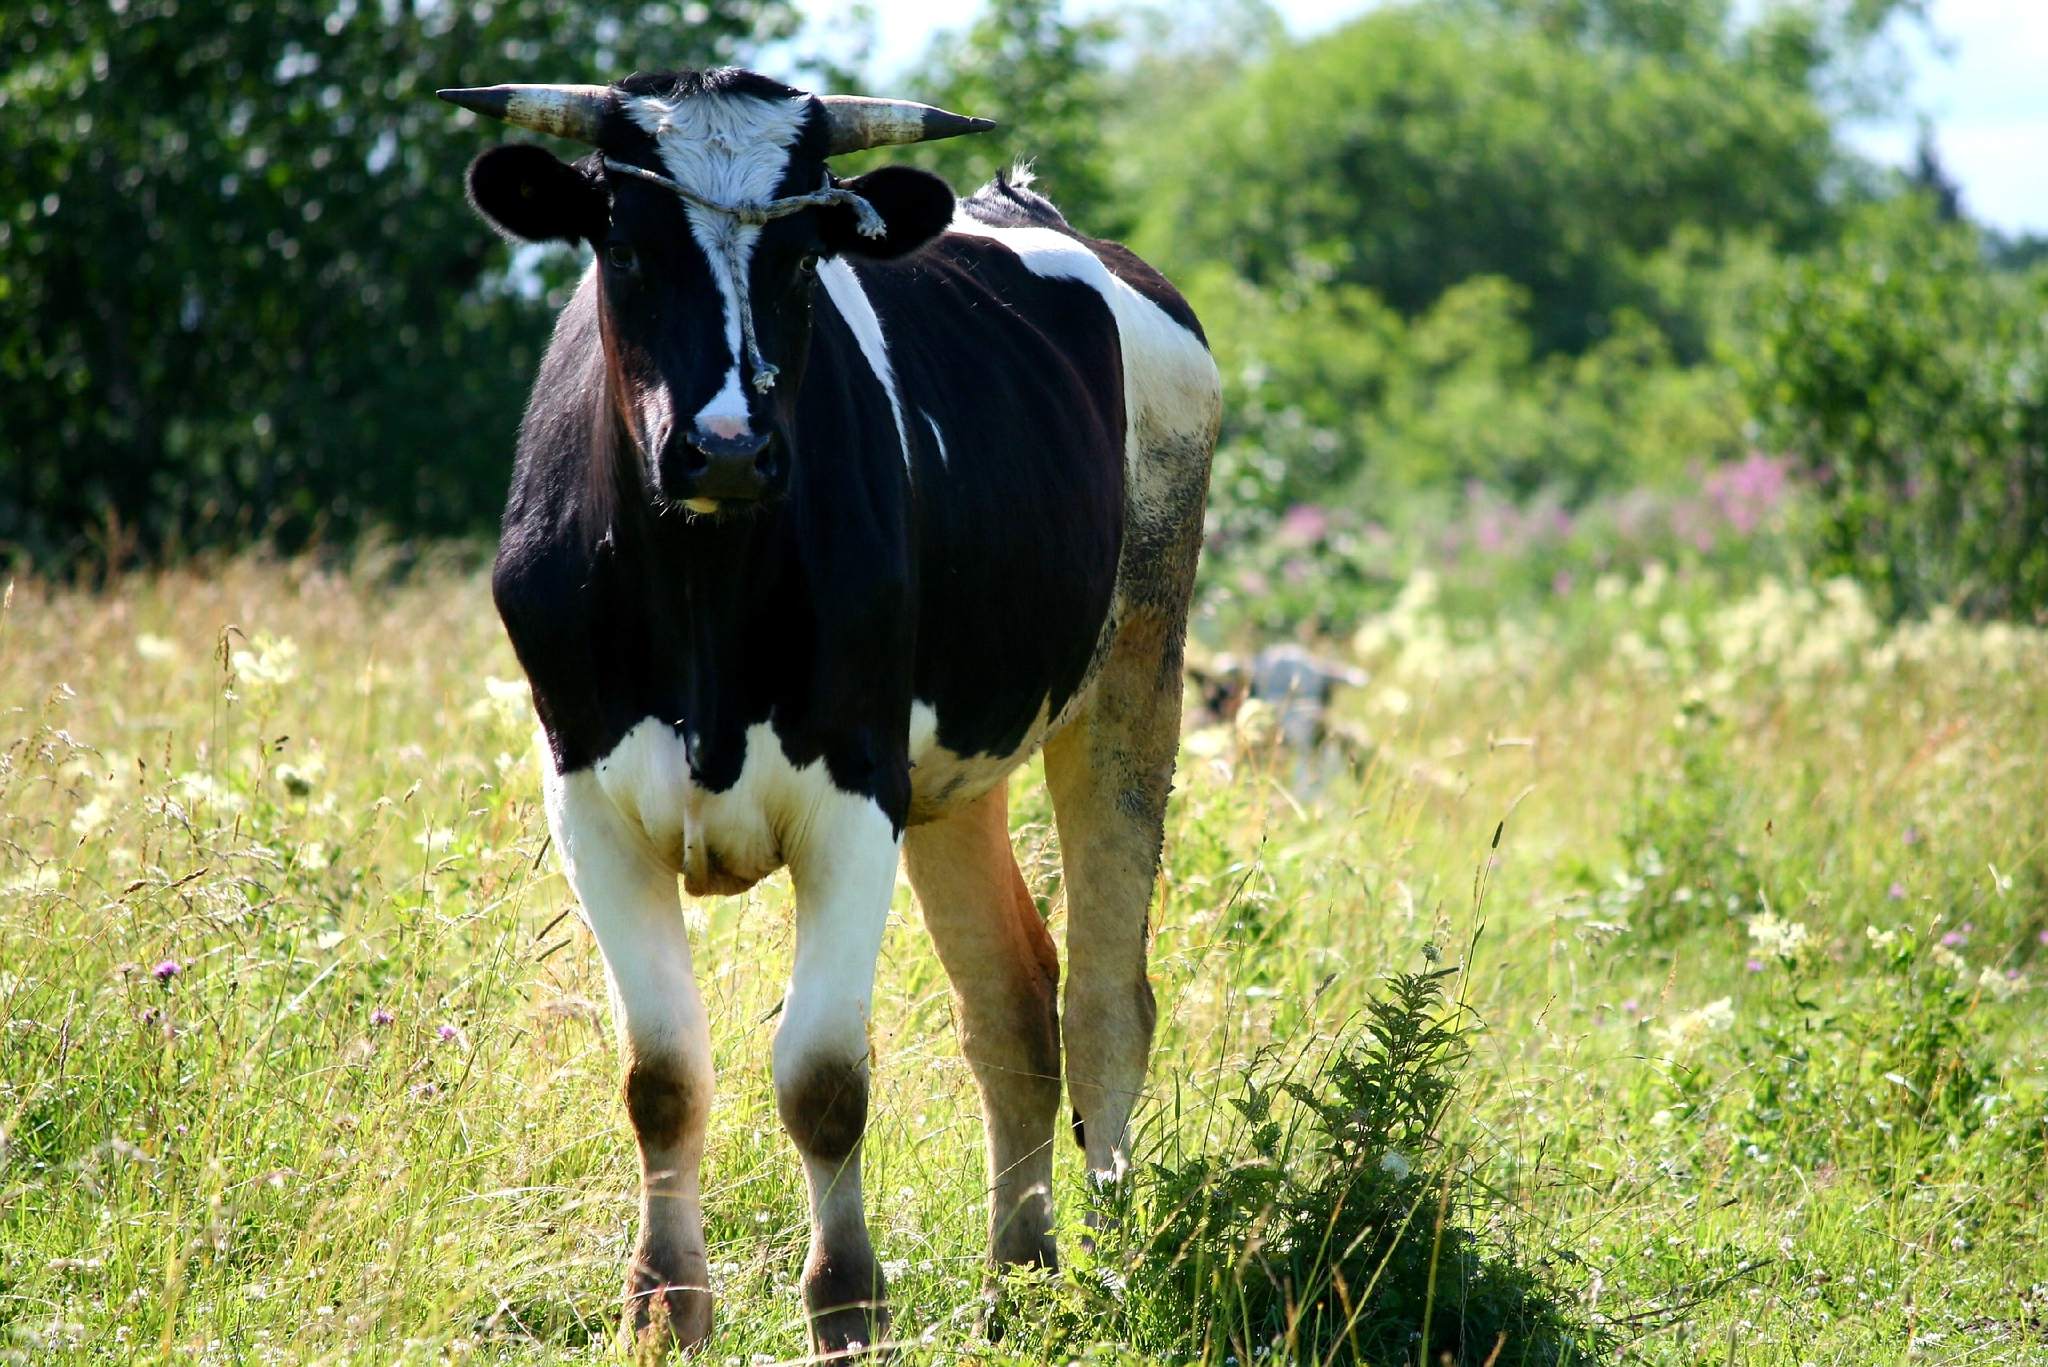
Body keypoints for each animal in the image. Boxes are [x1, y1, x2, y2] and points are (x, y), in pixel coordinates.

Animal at [444, 66, 1212, 1360]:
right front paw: (664, 1306)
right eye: (624, 243)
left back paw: (1114, 1271)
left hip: (1135, 668)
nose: (726, 446)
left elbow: (821, 1076)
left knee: (1106, 998)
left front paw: (846, 1303)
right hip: (953, 773)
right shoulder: (585, 793)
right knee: (1012, 1004)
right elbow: (662, 1073)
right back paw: (1018, 1278)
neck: (704, 595)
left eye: (804, 255)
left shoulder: (854, 792)